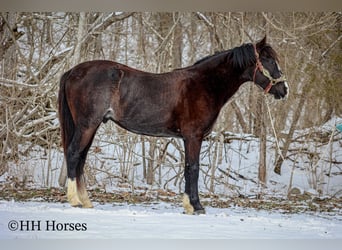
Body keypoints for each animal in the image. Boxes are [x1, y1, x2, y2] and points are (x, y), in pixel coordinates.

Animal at [57, 35, 288, 215]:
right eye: (268, 60)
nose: (284, 89)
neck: (205, 84)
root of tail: (72, 71)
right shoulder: (193, 136)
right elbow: (193, 168)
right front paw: (196, 206)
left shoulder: (189, 138)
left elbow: (187, 168)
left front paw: (189, 205)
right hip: (87, 125)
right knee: (74, 153)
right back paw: (75, 200)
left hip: (91, 126)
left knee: (81, 158)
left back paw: (86, 201)